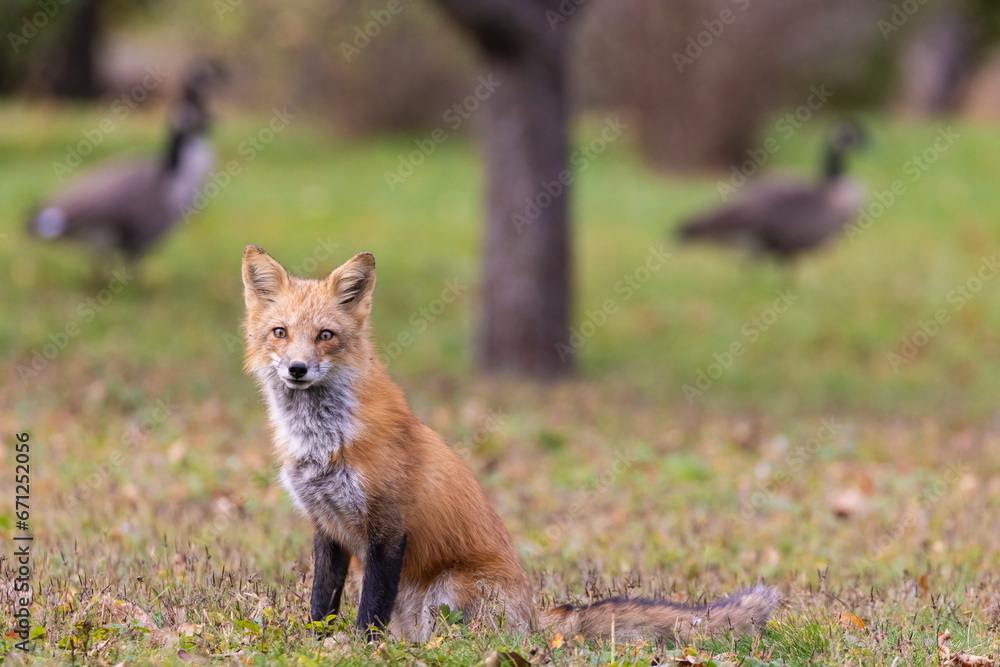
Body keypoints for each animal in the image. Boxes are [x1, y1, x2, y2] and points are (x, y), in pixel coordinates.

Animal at [241, 245, 780, 643]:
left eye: (326, 335)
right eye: (280, 332)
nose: (297, 369)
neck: (322, 439)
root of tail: (537, 621)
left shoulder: (387, 528)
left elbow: (369, 607)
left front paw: (360, 649)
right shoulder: (326, 525)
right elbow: (322, 601)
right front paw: (318, 643)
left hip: (446, 589)